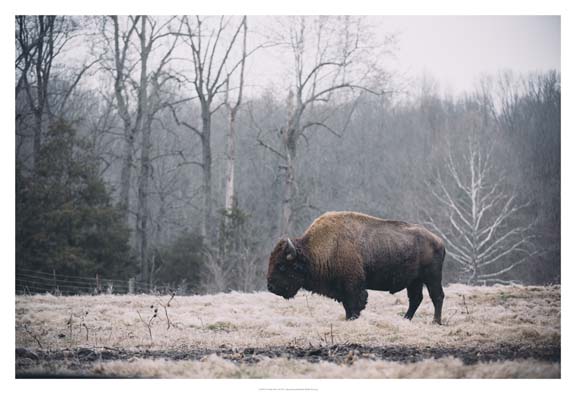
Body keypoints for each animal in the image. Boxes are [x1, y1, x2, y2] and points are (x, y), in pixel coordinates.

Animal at [266, 212, 446, 324]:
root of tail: (439, 241)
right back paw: (405, 319)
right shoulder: (342, 290)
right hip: (414, 281)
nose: (270, 287)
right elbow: (347, 306)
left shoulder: (353, 286)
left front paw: (353, 320)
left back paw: (435, 322)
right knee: (415, 299)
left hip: (432, 277)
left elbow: (354, 305)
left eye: (281, 266)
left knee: (437, 296)